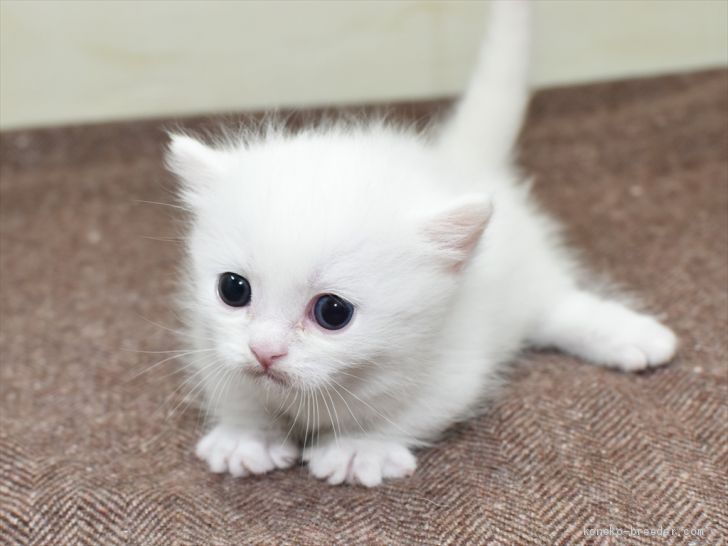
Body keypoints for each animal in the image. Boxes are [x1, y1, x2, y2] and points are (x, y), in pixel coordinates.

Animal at [166, 0, 676, 484]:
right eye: (233, 290)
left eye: (333, 312)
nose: (264, 351)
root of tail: (457, 161)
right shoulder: (207, 341)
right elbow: (235, 388)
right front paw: (246, 436)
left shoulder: (454, 369)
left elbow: (409, 412)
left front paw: (359, 447)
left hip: (524, 282)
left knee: (553, 306)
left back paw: (634, 337)